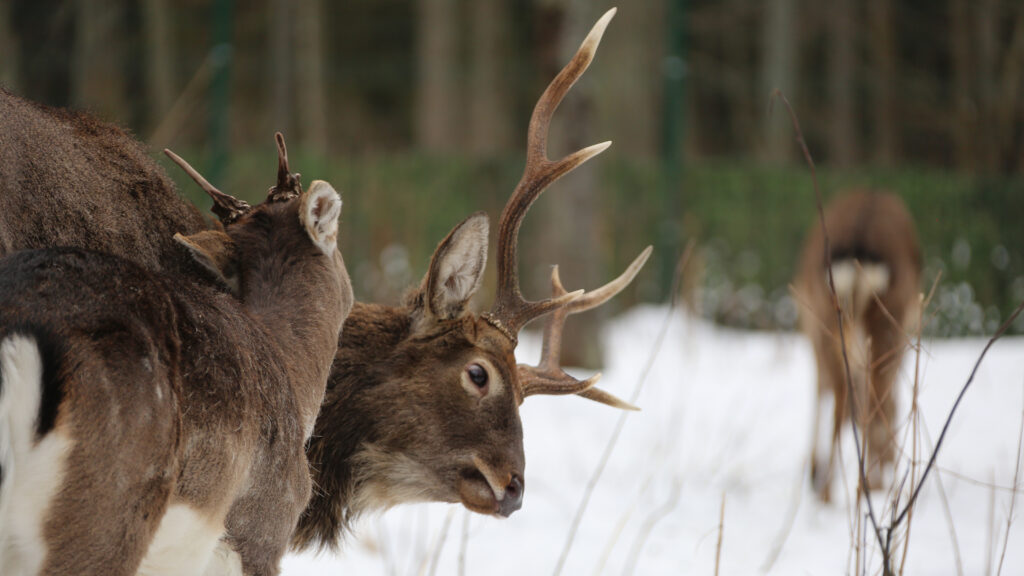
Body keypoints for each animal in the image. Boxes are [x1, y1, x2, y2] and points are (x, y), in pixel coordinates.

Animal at [794, 190, 925, 500]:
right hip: (886, 324)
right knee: (867, 404)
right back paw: (860, 487)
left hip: (830, 321)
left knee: (847, 402)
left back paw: (832, 489)